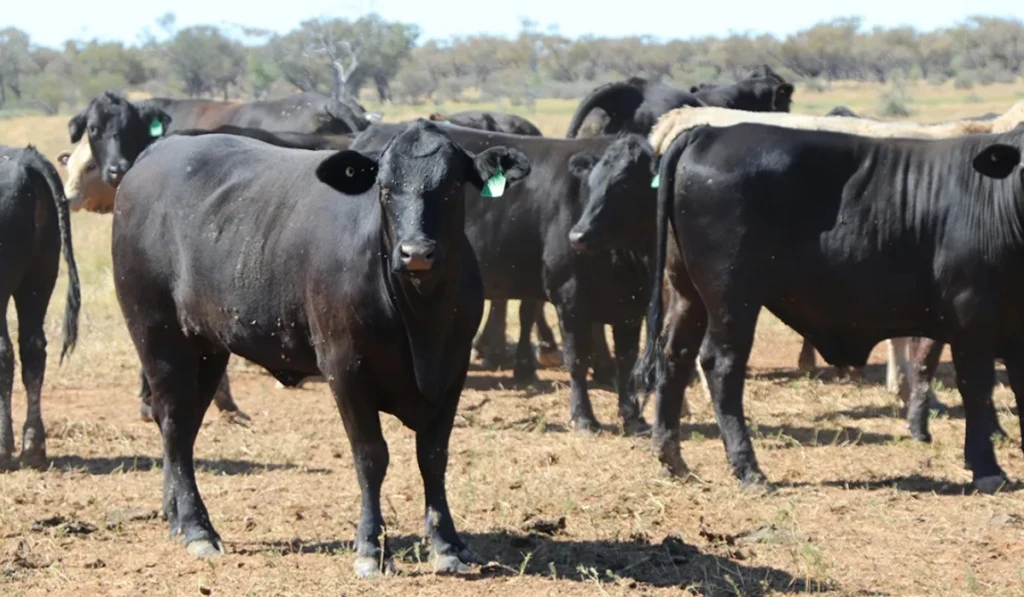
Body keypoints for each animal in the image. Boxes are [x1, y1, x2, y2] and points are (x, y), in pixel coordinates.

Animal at [110, 121, 530, 574]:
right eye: (384, 187)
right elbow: (371, 457)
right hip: (158, 336)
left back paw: (176, 518)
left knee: (183, 430)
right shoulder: (345, 368)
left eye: (451, 185)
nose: (416, 253)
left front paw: (448, 544)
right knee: (173, 424)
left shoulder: (453, 369)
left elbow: (433, 456)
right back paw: (196, 528)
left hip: (206, 348)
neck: (422, 320)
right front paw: (371, 548)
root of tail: (159, 151)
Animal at [353, 122, 655, 435]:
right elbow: (578, 360)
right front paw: (583, 417)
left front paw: (633, 417)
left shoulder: (632, 307)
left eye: (626, 186)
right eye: (592, 185)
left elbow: (627, 362)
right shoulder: (569, 297)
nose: (578, 235)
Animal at [629, 120, 1024, 494]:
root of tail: (710, 132)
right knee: (721, 365)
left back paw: (672, 459)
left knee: (675, 357)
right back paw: (749, 470)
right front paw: (988, 470)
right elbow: (977, 390)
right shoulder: (971, 320)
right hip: (732, 296)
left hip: (687, 293)